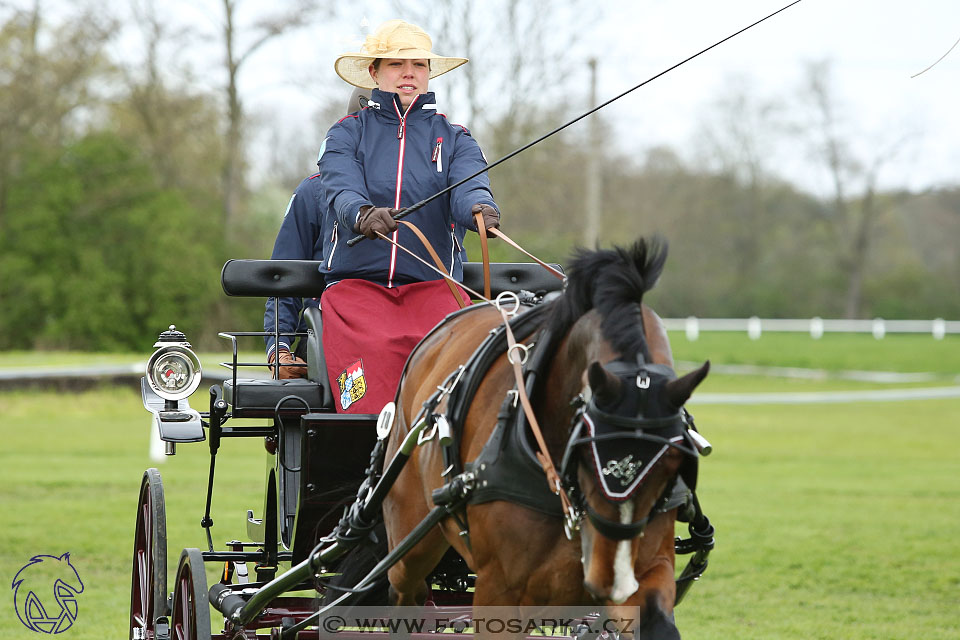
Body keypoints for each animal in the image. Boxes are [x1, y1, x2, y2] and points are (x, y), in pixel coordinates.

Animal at [378, 238, 708, 636]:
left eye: (675, 463)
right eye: (587, 450)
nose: (608, 578)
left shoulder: (647, 570)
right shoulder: (499, 589)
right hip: (409, 546)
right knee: (405, 596)